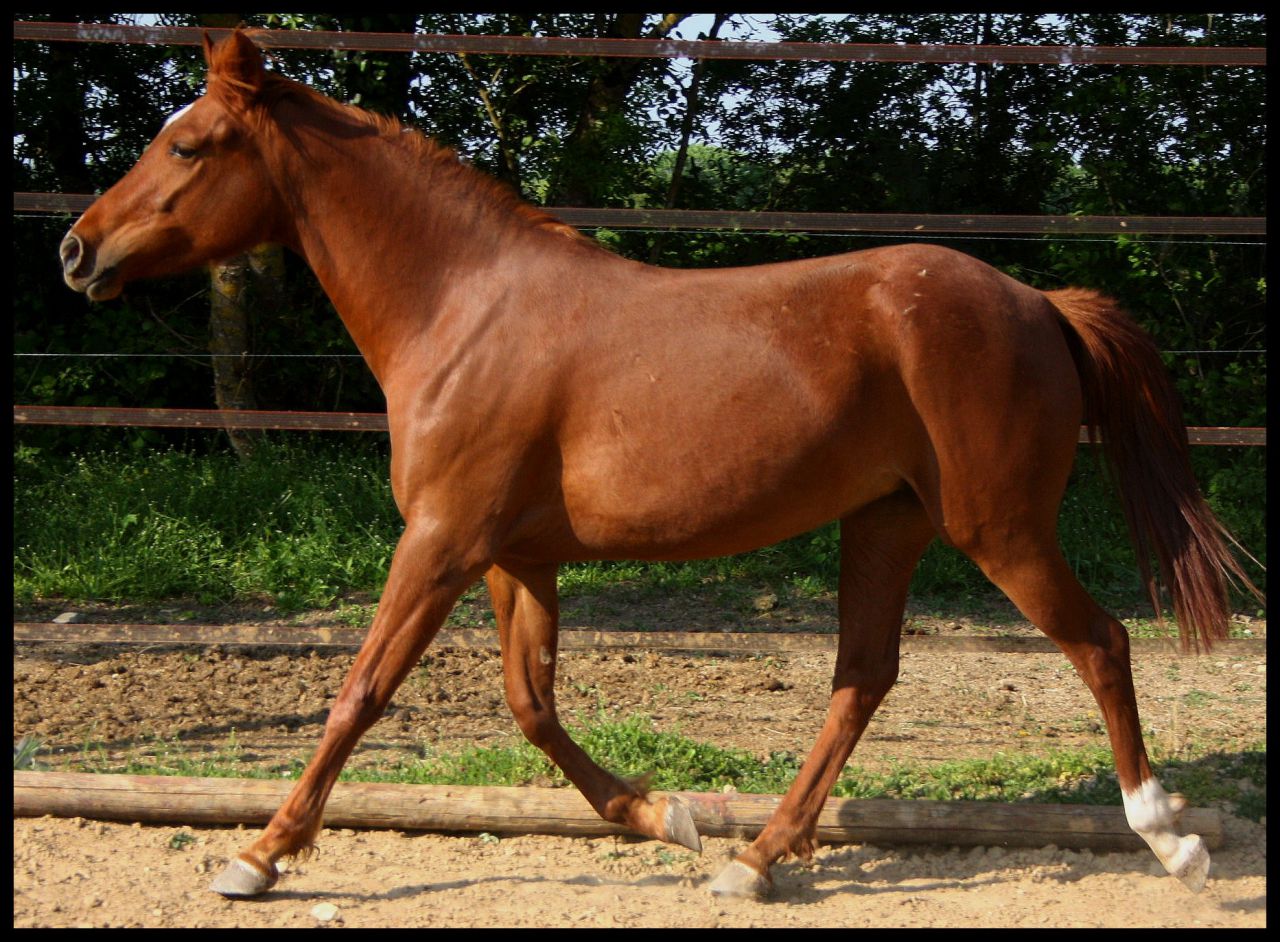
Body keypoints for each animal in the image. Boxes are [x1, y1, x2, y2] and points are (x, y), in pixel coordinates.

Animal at [61, 30, 1259, 901]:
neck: (462, 307)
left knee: (1098, 643)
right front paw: (664, 817)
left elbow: (359, 691)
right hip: (886, 519)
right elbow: (532, 705)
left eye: (187, 146)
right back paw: (754, 858)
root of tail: (1037, 302)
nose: (76, 250)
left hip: (996, 528)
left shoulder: (441, 541)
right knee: (861, 678)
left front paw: (256, 855)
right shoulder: (516, 559)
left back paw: (1170, 840)